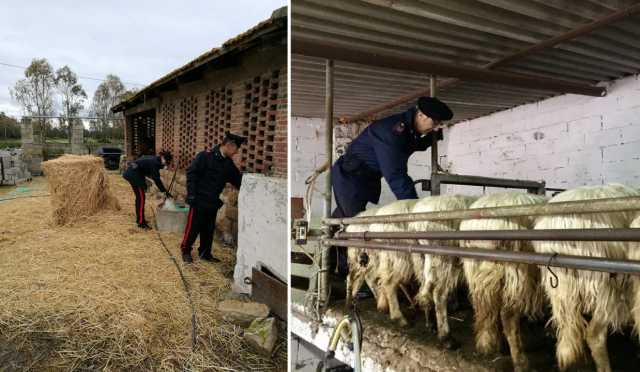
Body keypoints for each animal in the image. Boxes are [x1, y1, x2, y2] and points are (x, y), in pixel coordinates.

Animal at [408, 193, 478, 348]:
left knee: (424, 288)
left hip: (421, 256)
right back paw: (446, 337)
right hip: (444, 255)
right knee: (438, 293)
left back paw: (431, 323)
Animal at [460, 192, 544, 372]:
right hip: (515, 270)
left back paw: (489, 344)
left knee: (484, 308)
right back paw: (520, 362)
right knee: (508, 316)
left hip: (476, 268)